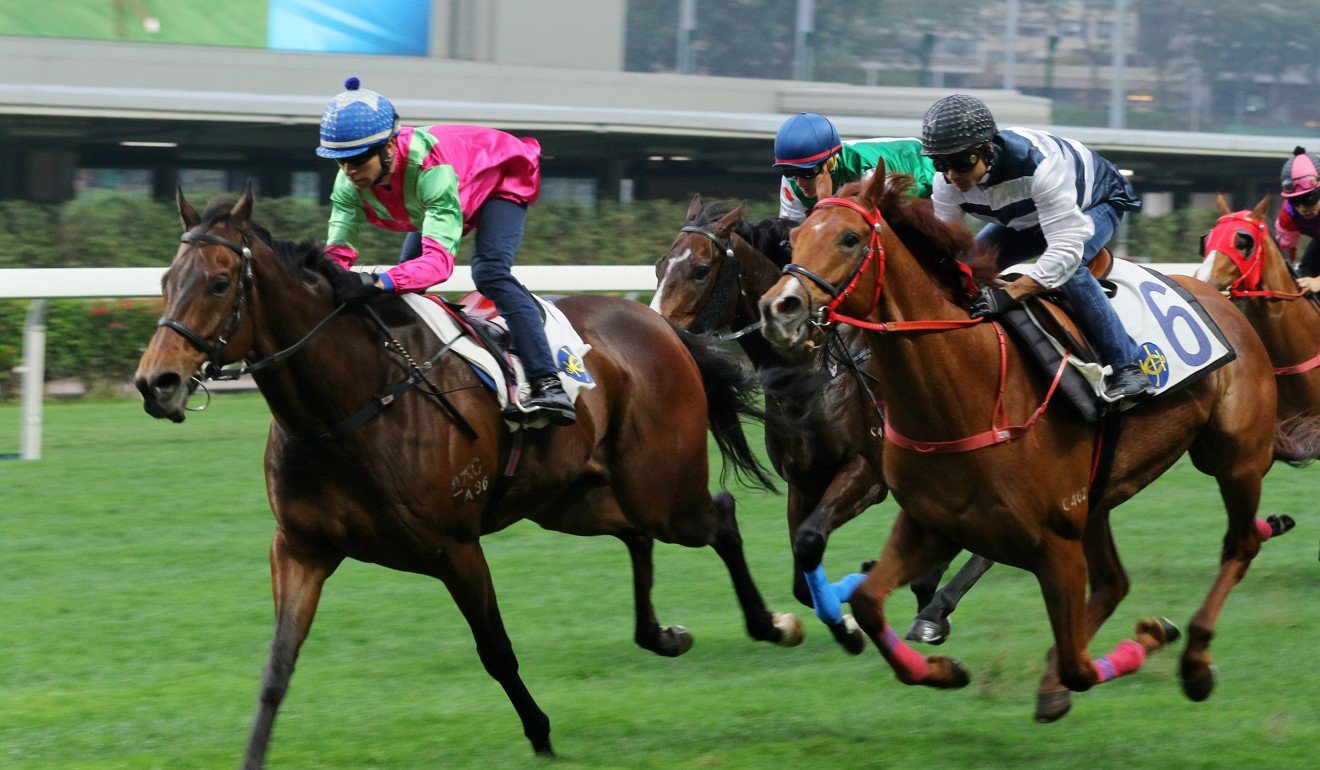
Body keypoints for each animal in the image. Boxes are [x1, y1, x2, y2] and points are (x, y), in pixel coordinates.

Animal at [133, 184, 797, 766]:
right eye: (165, 281)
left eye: (220, 282)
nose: (155, 382)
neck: (348, 404)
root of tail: (662, 326)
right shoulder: (300, 547)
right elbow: (277, 666)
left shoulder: (453, 545)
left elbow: (496, 650)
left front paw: (542, 735)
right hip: (570, 501)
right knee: (635, 532)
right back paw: (663, 634)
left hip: (661, 490)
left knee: (718, 516)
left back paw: (775, 624)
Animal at [649, 195, 992, 647]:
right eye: (659, 265)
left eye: (701, 269)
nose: (656, 331)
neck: (812, 369)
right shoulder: (803, 480)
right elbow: (801, 571)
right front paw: (844, 617)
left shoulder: (867, 474)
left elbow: (812, 538)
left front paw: (853, 610)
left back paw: (934, 607)